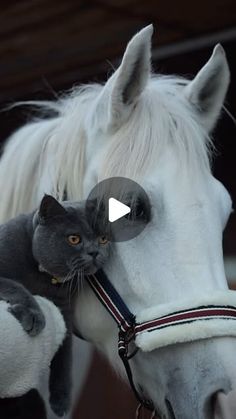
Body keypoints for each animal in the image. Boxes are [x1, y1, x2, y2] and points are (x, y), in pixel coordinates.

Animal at [0, 195, 109, 418]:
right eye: (74, 239)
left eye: (103, 238)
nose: (95, 251)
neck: (44, 278)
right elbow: (14, 285)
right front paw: (34, 316)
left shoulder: (63, 309)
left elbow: (65, 353)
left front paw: (61, 401)